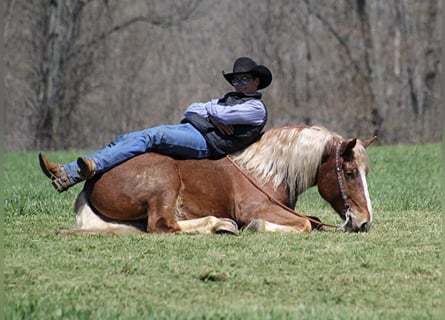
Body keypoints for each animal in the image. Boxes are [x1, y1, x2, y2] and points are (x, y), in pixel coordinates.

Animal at [66, 125, 376, 235]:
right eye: (349, 173)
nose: (364, 222)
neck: (265, 170)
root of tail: (92, 179)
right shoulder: (258, 208)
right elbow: (305, 224)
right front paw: (256, 226)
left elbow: (312, 220)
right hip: (165, 183)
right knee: (162, 225)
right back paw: (219, 224)